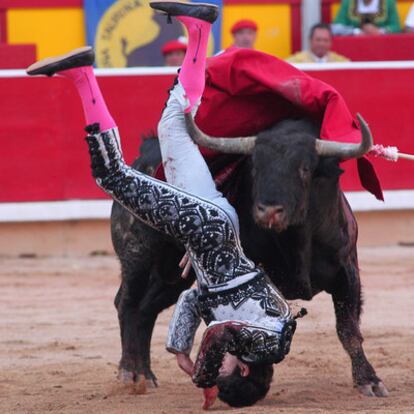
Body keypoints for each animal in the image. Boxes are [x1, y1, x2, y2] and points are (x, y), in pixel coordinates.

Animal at [111, 118, 388, 396]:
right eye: (255, 168)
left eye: (305, 168)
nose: (269, 210)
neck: (297, 239)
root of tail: (144, 152)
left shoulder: (347, 271)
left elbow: (349, 330)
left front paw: (369, 381)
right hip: (137, 253)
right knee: (128, 303)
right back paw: (130, 372)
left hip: (172, 276)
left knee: (146, 309)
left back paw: (147, 374)